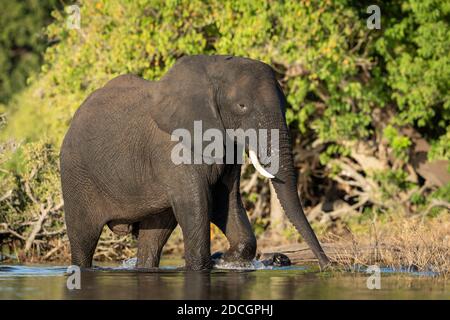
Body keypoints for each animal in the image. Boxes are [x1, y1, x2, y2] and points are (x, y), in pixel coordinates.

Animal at [59, 54, 328, 270]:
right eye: (241, 106)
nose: (326, 265)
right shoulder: (173, 149)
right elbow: (197, 203)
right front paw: (209, 263)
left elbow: (225, 200)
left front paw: (227, 259)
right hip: (76, 176)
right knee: (83, 239)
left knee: (154, 237)